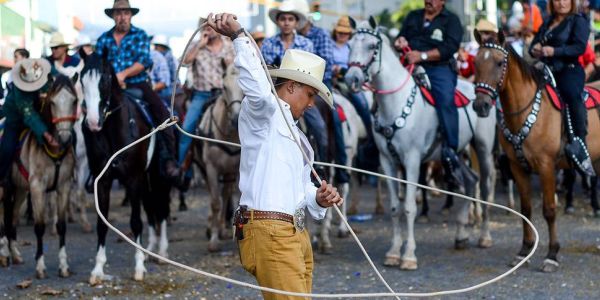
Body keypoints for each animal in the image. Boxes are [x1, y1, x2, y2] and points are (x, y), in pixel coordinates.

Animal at [0, 73, 78, 278]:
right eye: (52, 102)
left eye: (74, 101)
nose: (65, 138)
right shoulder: (37, 188)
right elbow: (40, 226)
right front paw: (41, 266)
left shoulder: (64, 186)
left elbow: (61, 226)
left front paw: (63, 266)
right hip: (3, 189)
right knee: (2, 217)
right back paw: (3, 254)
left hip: (19, 189)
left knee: (12, 217)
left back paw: (15, 254)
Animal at [79, 49, 171, 284]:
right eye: (81, 80)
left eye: (105, 79)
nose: (93, 122)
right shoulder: (102, 181)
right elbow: (102, 224)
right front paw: (97, 270)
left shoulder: (133, 179)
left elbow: (135, 221)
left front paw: (138, 267)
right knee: (151, 208)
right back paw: (150, 250)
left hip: (156, 176)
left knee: (162, 209)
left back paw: (162, 252)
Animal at [197, 64, 244, 252]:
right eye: (224, 86)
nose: (236, 119)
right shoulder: (211, 168)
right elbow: (215, 202)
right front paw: (214, 240)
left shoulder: (238, 170)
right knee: (215, 195)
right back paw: (212, 226)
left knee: (226, 193)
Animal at [342, 17, 496, 270]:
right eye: (349, 45)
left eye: (372, 47)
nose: (351, 78)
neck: (395, 103)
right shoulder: (388, 162)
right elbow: (395, 208)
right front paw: (393, 252)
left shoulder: (412, 160)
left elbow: (409, 207)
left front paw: (408, 256)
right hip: (455, 153)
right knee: (470, 181)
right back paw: (461, 235)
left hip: (482, 148)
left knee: (483, 185)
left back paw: (484, 236)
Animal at [472, 32, 600, 272]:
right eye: (475, 63)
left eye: (499, 62)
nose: (480, 105)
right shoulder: (517, 167)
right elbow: (526, 209)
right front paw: (524, 251)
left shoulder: (546, 166)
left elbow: (549, 210)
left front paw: (552, 255)